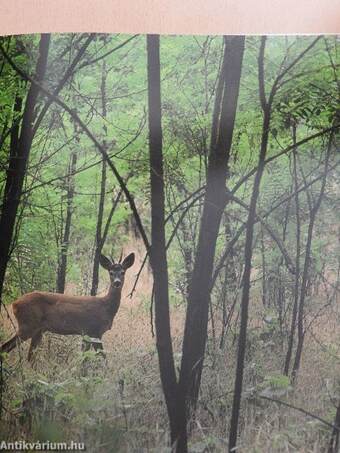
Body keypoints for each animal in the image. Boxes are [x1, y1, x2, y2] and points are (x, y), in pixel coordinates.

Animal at [0, 251, 135, 360]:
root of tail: (15, 303)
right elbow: (102, 357)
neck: (106, 307)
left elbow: (84, 358)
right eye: (111, 273)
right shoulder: (94, 331)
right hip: (27, 324)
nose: (117, 282)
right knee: (5, 347)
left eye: (123, 272)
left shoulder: (86, 334)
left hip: (38, 330)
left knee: (30, 356)